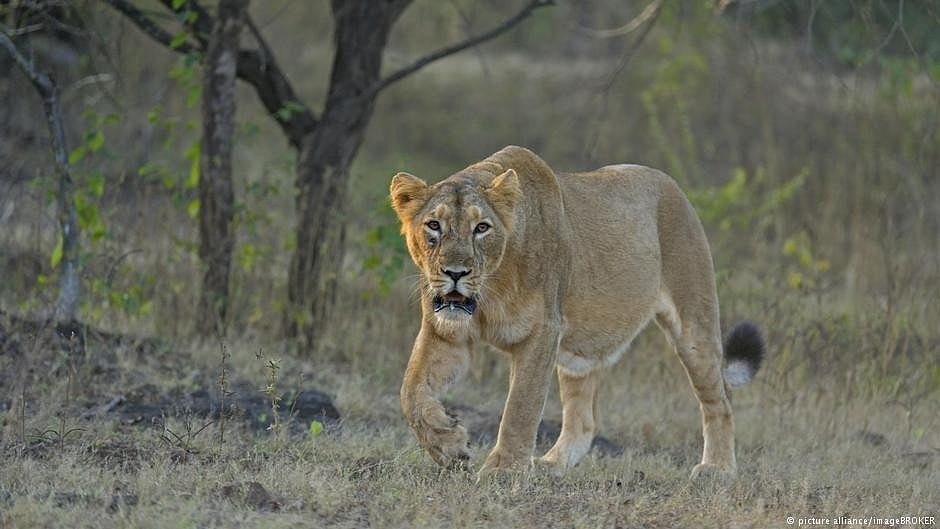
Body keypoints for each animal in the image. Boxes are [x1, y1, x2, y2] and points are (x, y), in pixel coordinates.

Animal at [390, 146, 765, 480]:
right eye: (434, 225)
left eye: (481, 228)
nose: (455, 273)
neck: (490, 291)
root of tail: (671, 184)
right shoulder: (445, 331)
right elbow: (410, 392)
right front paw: (448, 445)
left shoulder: (542, 332)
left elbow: (520, 407)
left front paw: (504, 471)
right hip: (579, 354)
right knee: (584, 421)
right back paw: (551, 465)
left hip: (693, 325)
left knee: (721, 400)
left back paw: (718, 469)